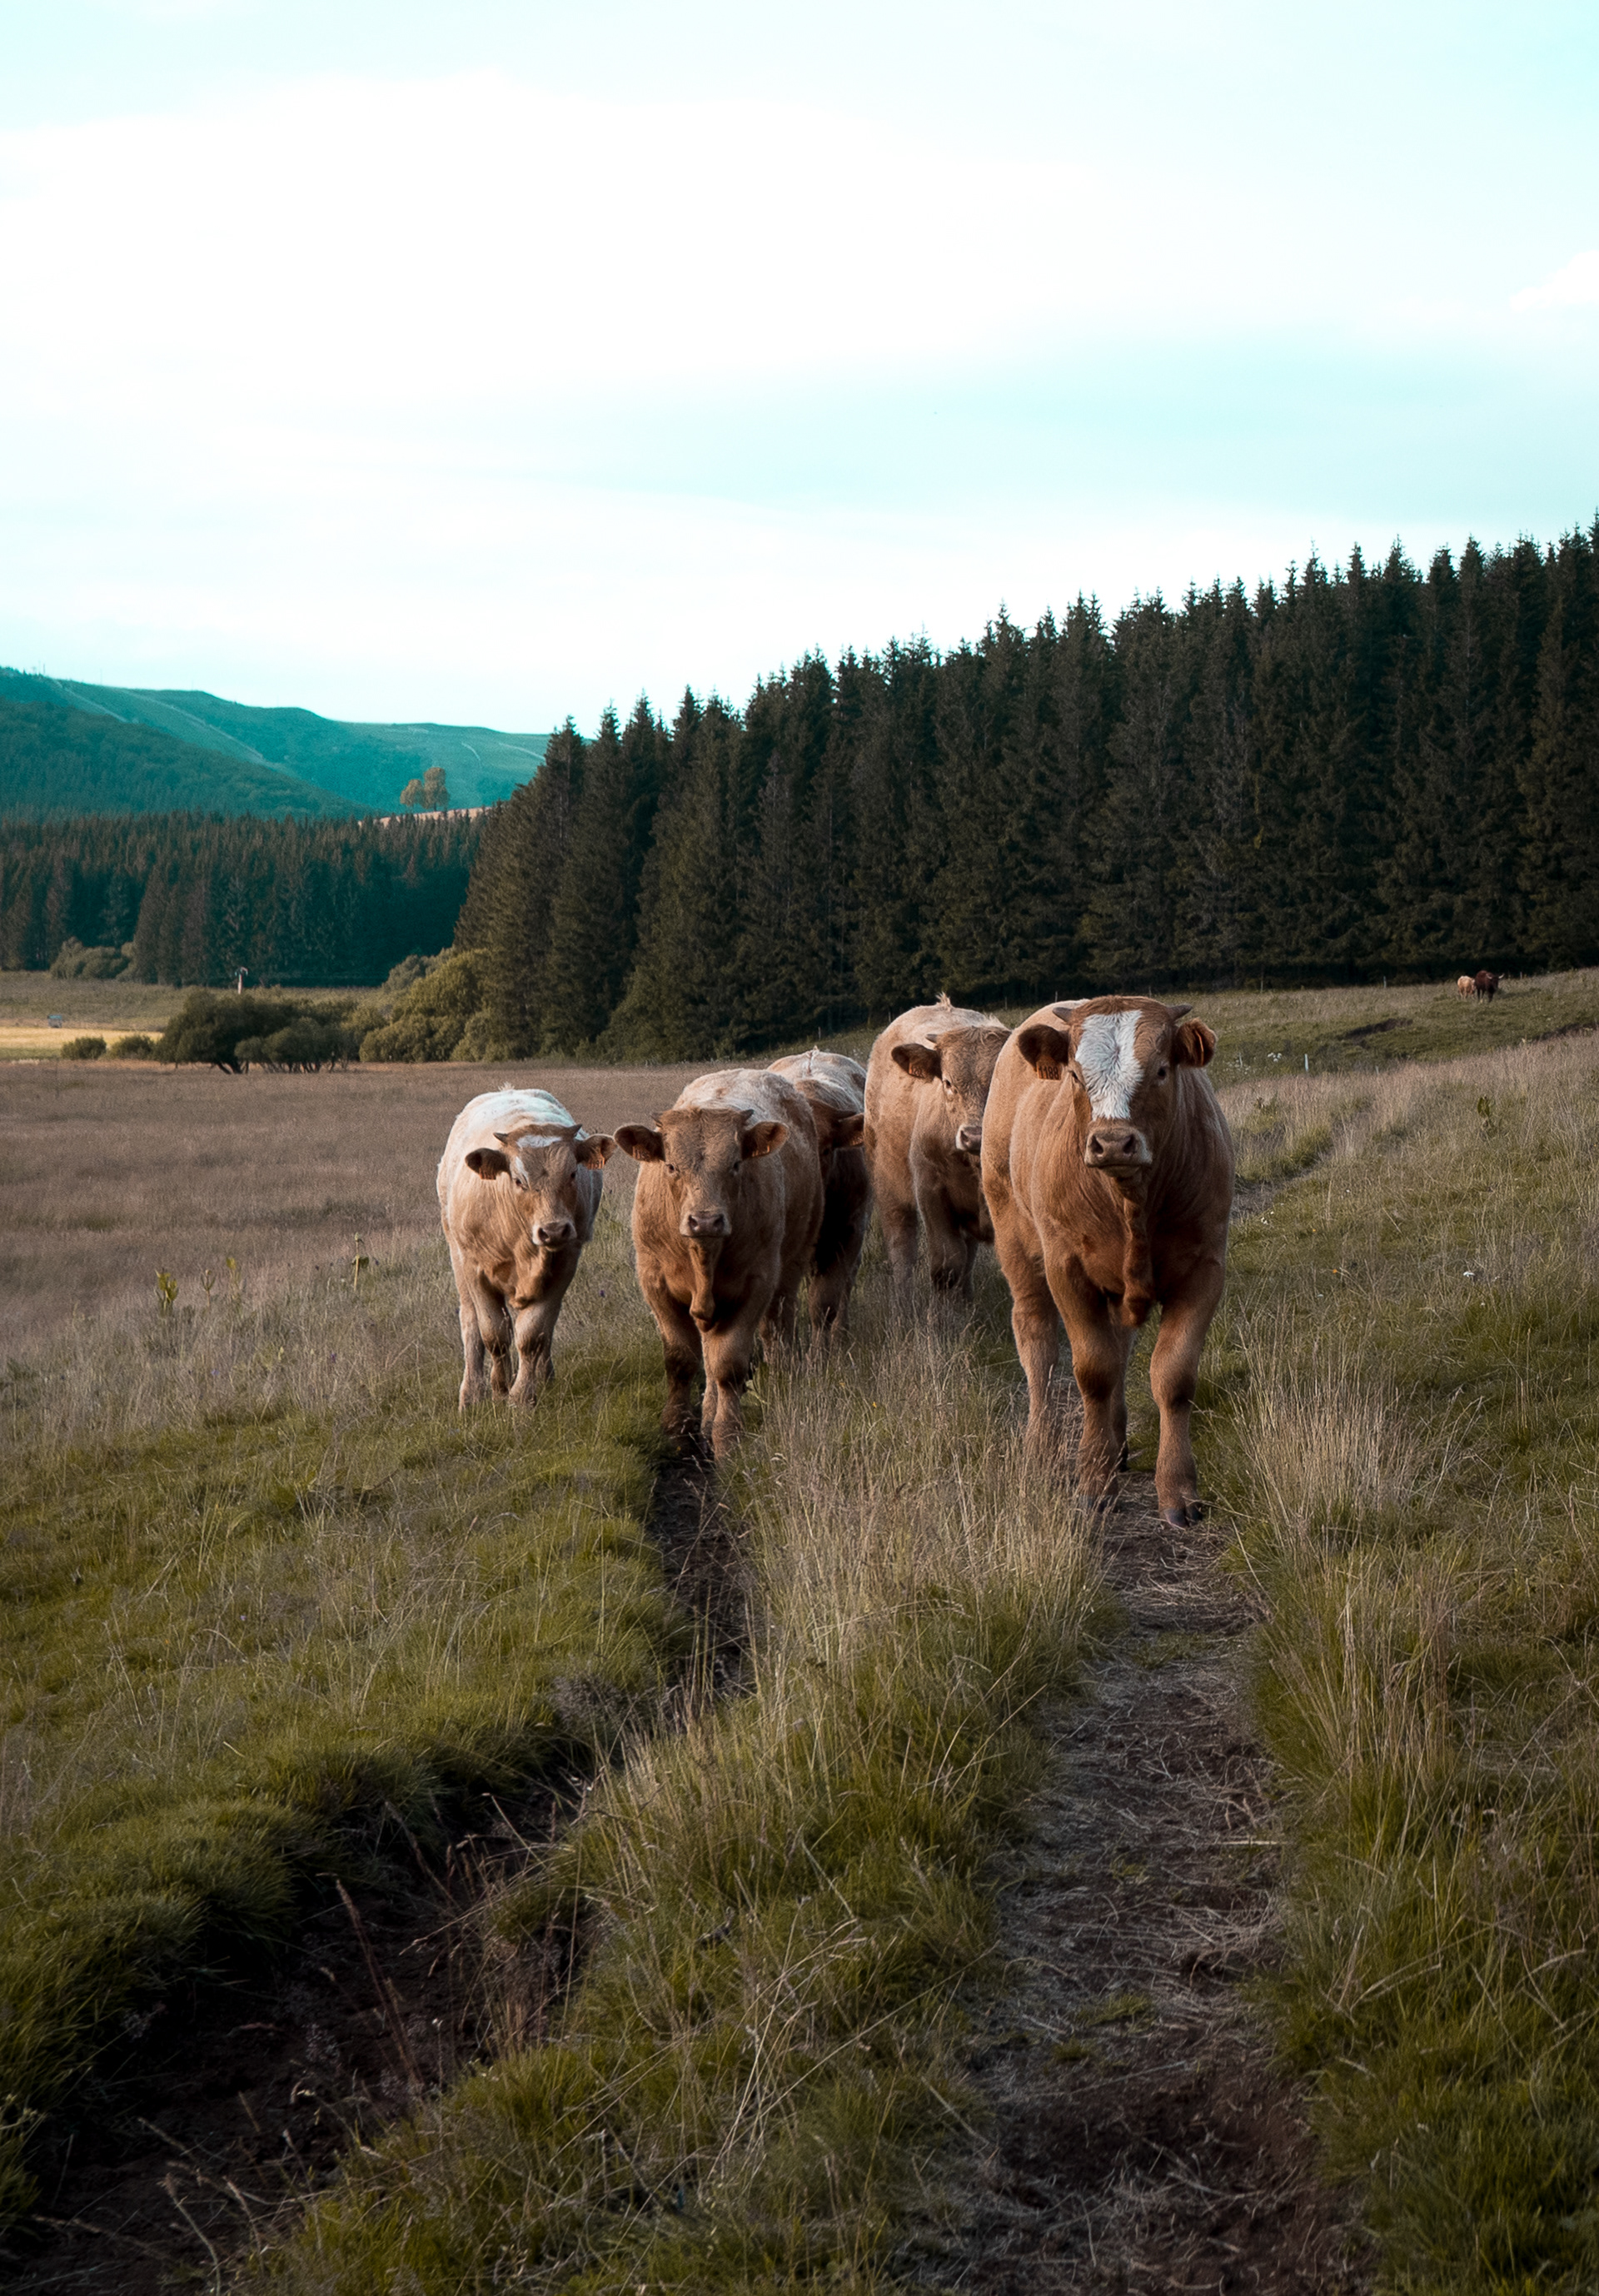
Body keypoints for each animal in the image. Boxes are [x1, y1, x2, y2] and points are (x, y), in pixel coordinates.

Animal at [436, 1088, 616, 1410]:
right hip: (458, 1257)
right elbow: (492, 1333)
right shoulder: (475, 1269)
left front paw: (521, 1397)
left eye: (572, 1173)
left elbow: (533, 1334)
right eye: (519, 1181)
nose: (554, 1230)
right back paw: (472, 1394)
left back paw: (543, 1376)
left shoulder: (564, 1264)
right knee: (471, 1325)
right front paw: (499, 1387)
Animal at [617, 1068, 824, 1457]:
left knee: (777, 1322)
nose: (705, 1221)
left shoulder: (756, 1282)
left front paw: (727, 1434)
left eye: (736, 1164)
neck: (703, 1259)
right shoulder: (654, 1280)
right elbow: (681, 1359)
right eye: (671, 1166)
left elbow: (728, 1364)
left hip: (794, 1261)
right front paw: (678, 1428)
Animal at [863, 995, 1012, 1302]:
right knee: (901, 1247)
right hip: (888, 1187)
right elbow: (946, 1267)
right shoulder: (932, 1193)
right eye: (948, 1083)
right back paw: (904, 1303)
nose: (975, 1136)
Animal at [981, 996, 1234, 1530]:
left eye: (1161, 1070)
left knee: (1120, 1345)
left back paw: (1116, 1444)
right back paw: (1042, 1445)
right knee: (1037, 1339)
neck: (1130, 1201)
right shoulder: (1067, 1269)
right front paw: (1094, 1482)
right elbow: (1093, 1372)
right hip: (1014, 1237)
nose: (1113, 1142)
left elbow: (1173, 1376)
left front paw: (1177, 1488)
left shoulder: (1205, 1267)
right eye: (1076, 1076)